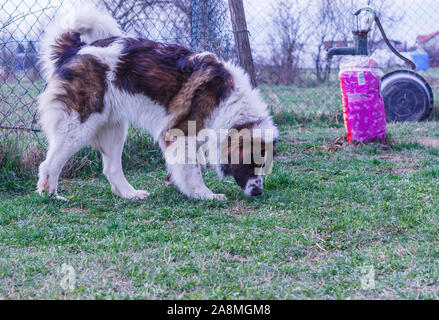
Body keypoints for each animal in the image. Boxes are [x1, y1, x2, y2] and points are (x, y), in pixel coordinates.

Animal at [37, 4, 278, 200]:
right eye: (251, 162)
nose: (258, 191)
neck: (227, 102)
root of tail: (75, 50)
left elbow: (191, 164)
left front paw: (176, 182)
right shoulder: (180, 132)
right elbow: (193, 169)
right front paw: (204, 194)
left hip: (113, 129)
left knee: (112, 168)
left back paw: (130, 194)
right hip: (78, 125)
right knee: (50, 164)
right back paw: (52, 195)